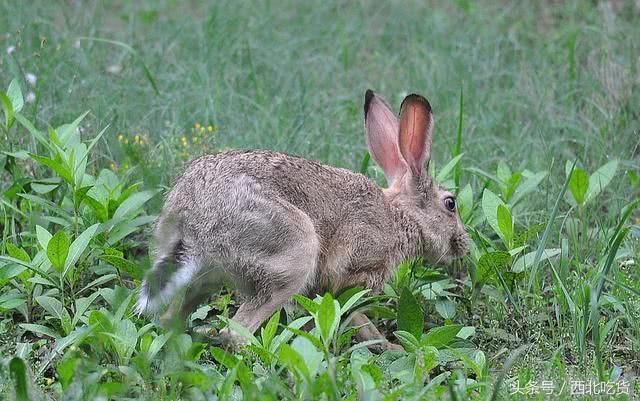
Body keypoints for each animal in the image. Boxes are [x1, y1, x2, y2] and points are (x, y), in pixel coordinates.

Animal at [136, 90, 470, 346]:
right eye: (450, 204)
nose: (463, 245)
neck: (399, 216)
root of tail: (192, 218)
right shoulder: (351, 270)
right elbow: (354, 314)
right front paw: (389, 346)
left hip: (203, 279)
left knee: (171, 317)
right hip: (291, 257)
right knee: (235, 332)